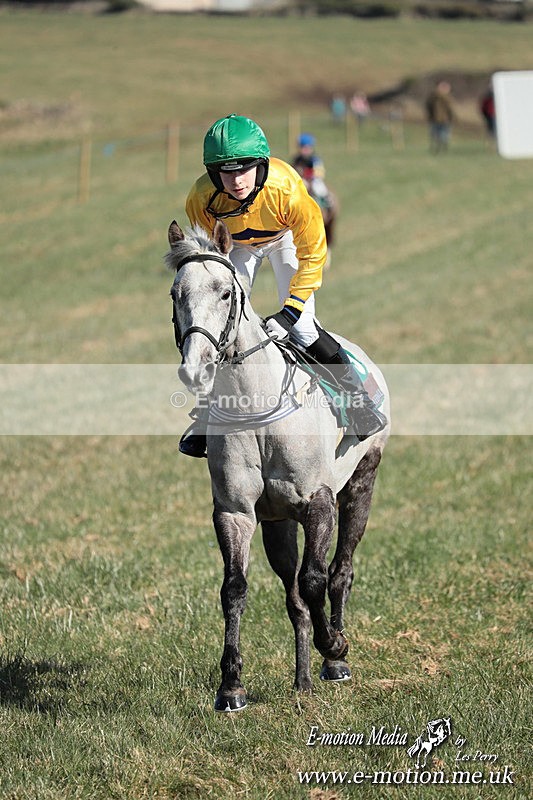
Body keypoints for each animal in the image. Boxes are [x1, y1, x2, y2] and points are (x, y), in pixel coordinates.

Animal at [166, 219, 390, 712]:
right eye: (176, 293)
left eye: (225, 292)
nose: (196, 369)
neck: (258, 408)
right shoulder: (236, 512)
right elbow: (235, 588)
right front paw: (231, 687)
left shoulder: (319, 503)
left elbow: (316, 579)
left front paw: (335, 647)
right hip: (277, 523)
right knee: (293, 596)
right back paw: (302, 678)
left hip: (361, 481)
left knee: (339, 571)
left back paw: (333, 660)